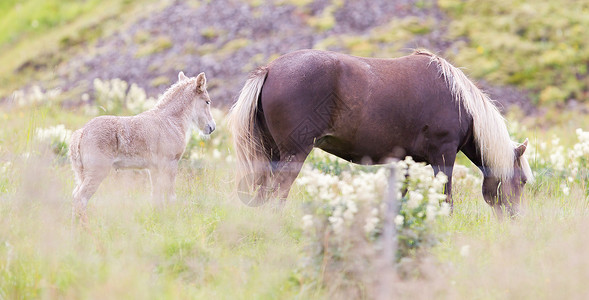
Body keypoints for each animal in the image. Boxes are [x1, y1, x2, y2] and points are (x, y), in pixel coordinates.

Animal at [69, 71, 216, 219]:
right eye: (207, 101)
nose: (211, 127)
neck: (170, 121)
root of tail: (81, 133)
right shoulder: (171, 164)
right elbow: (170, 196)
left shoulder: (154, 169)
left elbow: (156, 197)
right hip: (97, 172)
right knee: (81, 198)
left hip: (82, 174)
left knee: (75, 195)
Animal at [229, 50, 532, 217]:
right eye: (523, 181)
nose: (514, 217)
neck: (457, 100)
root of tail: (269, 70)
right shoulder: (443, 157)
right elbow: (446, 198)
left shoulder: (408, 162)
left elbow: (402, 197)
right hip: (293, 154)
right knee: (278, 191)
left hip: (272, 154)